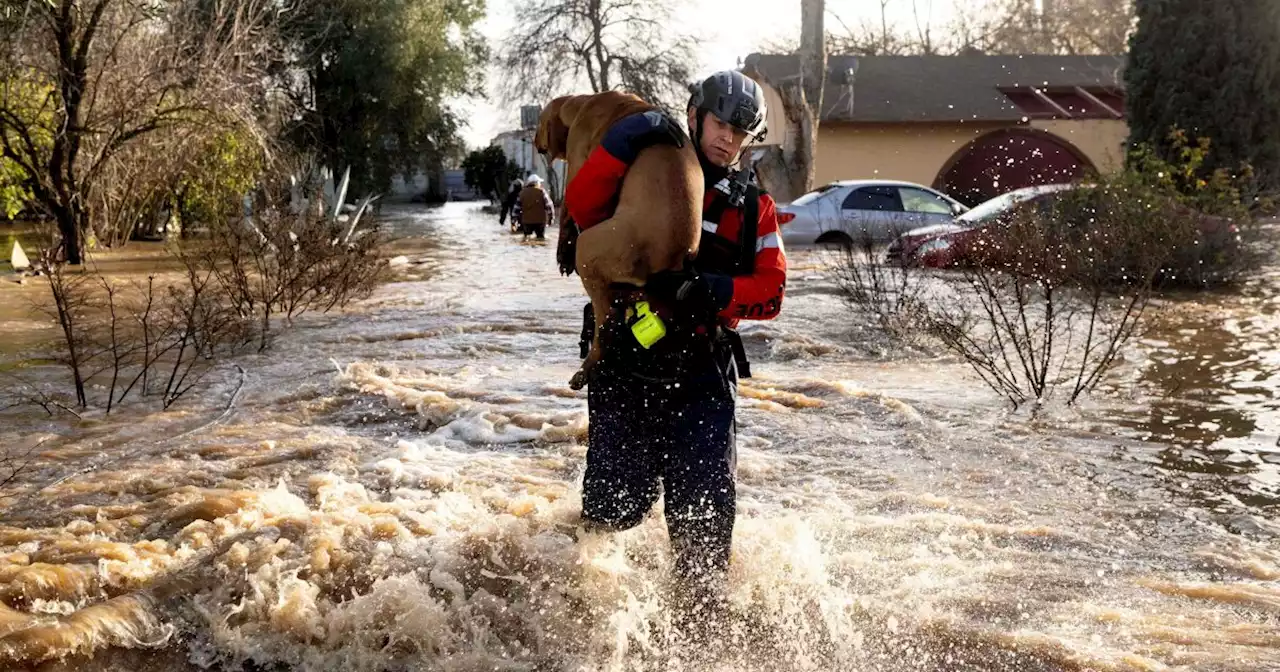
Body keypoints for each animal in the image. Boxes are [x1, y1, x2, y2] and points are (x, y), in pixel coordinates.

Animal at [535, 91, 706, 389]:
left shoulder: (576, 165)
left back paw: (585, 370)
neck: (583, 103)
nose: (533, 141)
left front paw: (562, 252)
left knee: (606, 325)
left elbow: (568, 207)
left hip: (589, 249)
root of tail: (670, 261)